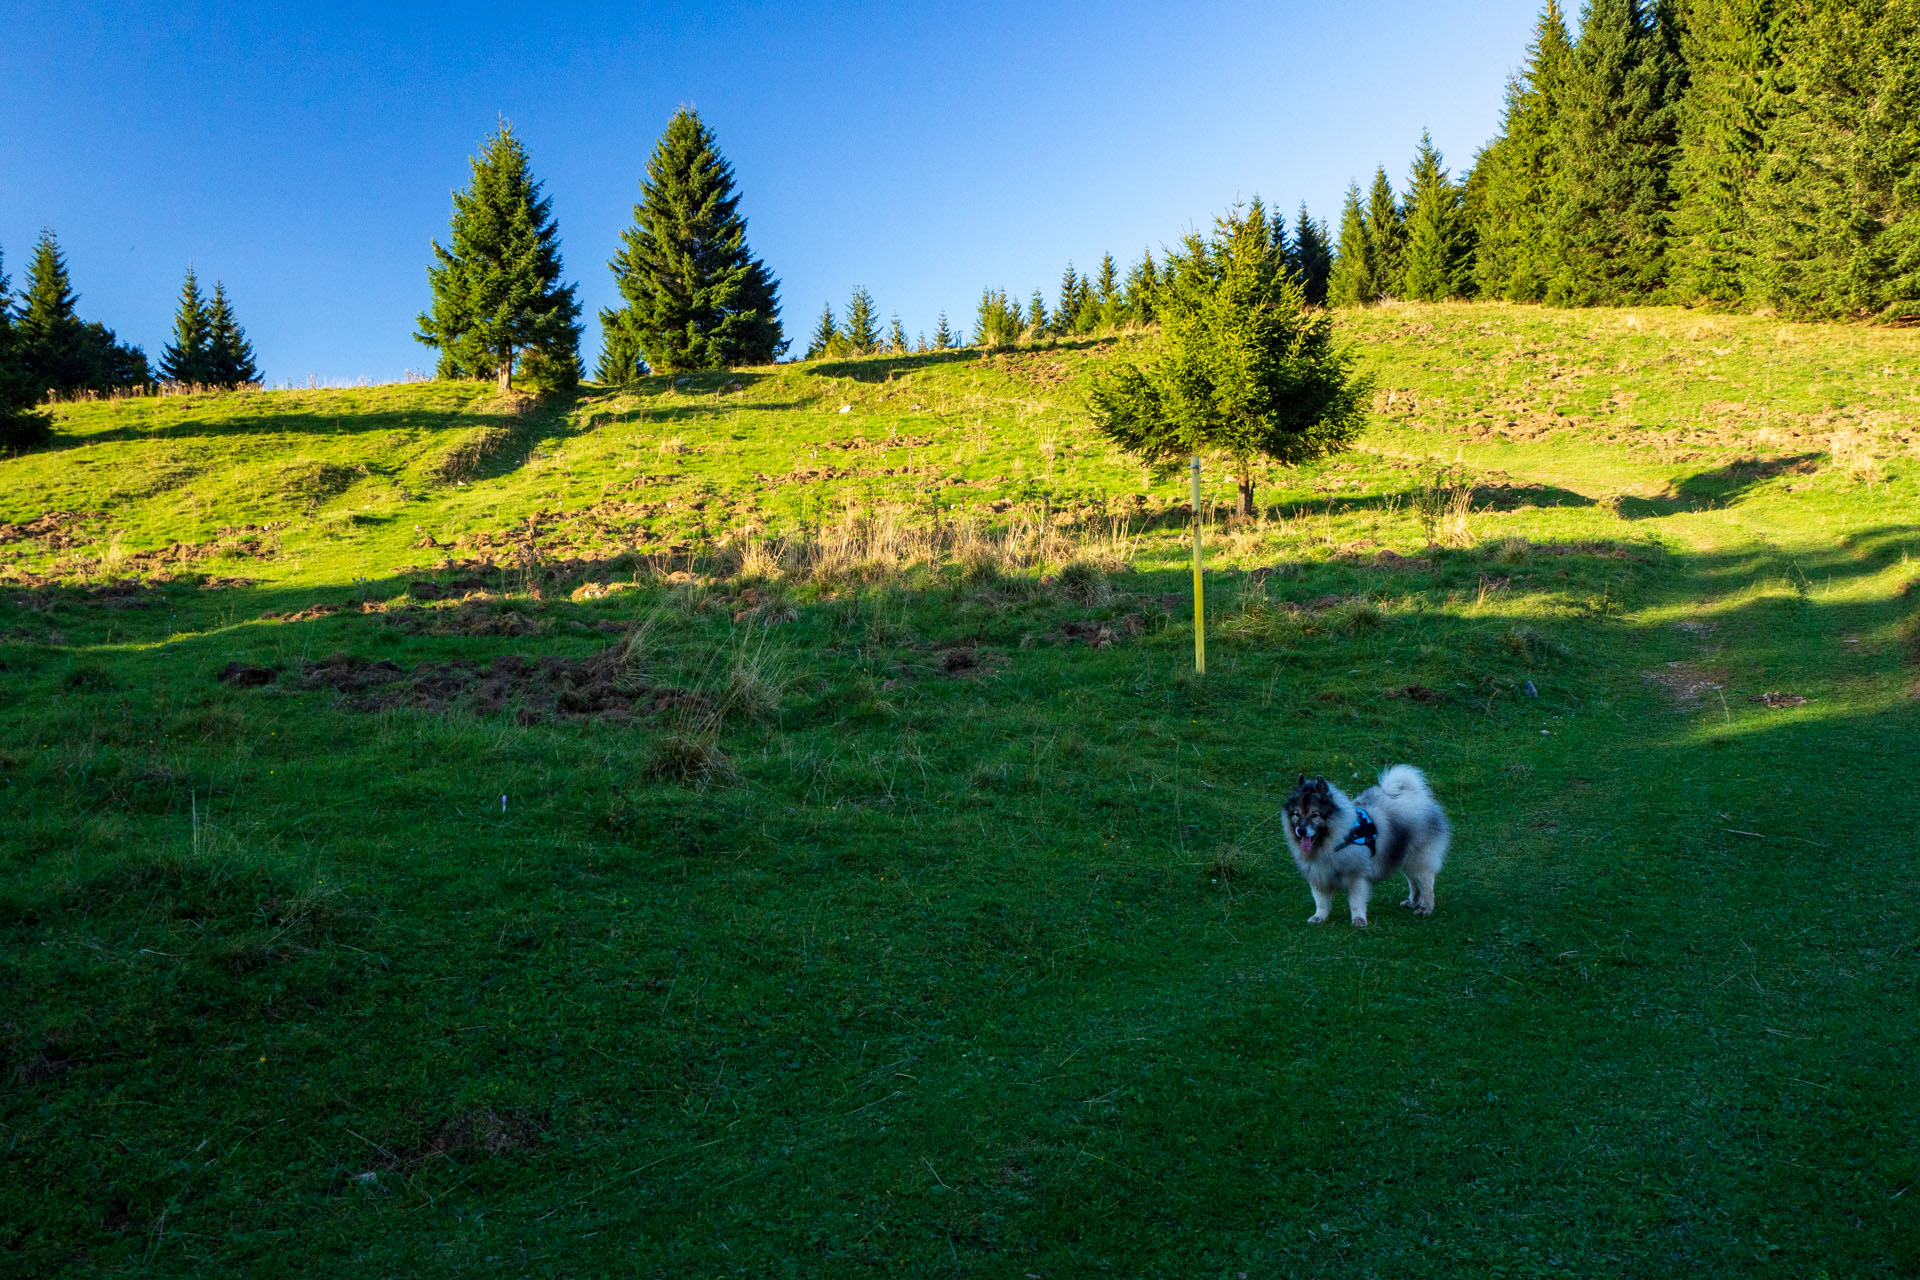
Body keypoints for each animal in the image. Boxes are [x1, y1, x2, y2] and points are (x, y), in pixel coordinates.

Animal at [1282, 767, 1443, 924]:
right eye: (1296, 814)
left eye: (1315, 815)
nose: (1301, 830)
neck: (1334, 840)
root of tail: (1417, 795)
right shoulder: (1318, 875)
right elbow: (1321, 901)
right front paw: (1319, 916)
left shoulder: (1357, 876)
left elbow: (1355, 901)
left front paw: (1358, 919)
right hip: (1406, 858)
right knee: (1414, 882)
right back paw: (1412, 901)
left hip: (1420, 859)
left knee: (1426, 885)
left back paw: (1425, 908)